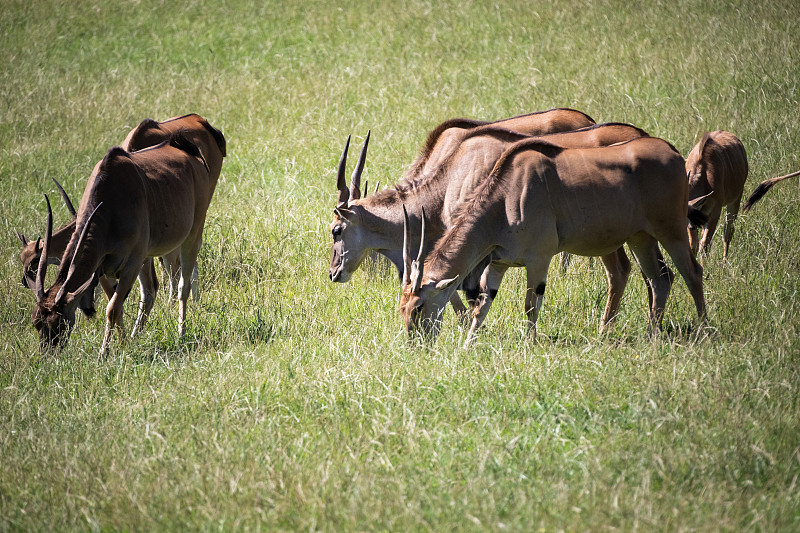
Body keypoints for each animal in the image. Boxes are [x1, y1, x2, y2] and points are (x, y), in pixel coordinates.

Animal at [32, 134, 216, 354]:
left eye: (58, 321)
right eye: (36, 323)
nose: (47, 354)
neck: (110, 204)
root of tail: (185, 149)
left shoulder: (131, 265)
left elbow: (112, 308)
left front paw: (104, 352)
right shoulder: (102, 269)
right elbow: (117, 305)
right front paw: (124, 342)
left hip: (191, 236)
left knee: (182, 285)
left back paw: (181, 334)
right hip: (147, 257)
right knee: (149, 291)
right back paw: (136, 335)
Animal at [400, 136, 708, 344]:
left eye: (418, 307)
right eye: (401, 307)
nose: (415, 344)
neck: (506, 194)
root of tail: (672, 152)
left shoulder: (539, 259)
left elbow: (530, 304)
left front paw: (529, 343)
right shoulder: (499, 262)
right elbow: (482, 305)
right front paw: (468, 345)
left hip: (671, 230)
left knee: (692, 272)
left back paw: (704, 330)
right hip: (640, 238)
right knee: (660, 278)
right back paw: (650, 335)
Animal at [688, 131, 752, 260]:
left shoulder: (714, 212)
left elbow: (704, 244)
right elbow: (693, 245)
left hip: (735, 200)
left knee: (727, 232)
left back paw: (724, 262)